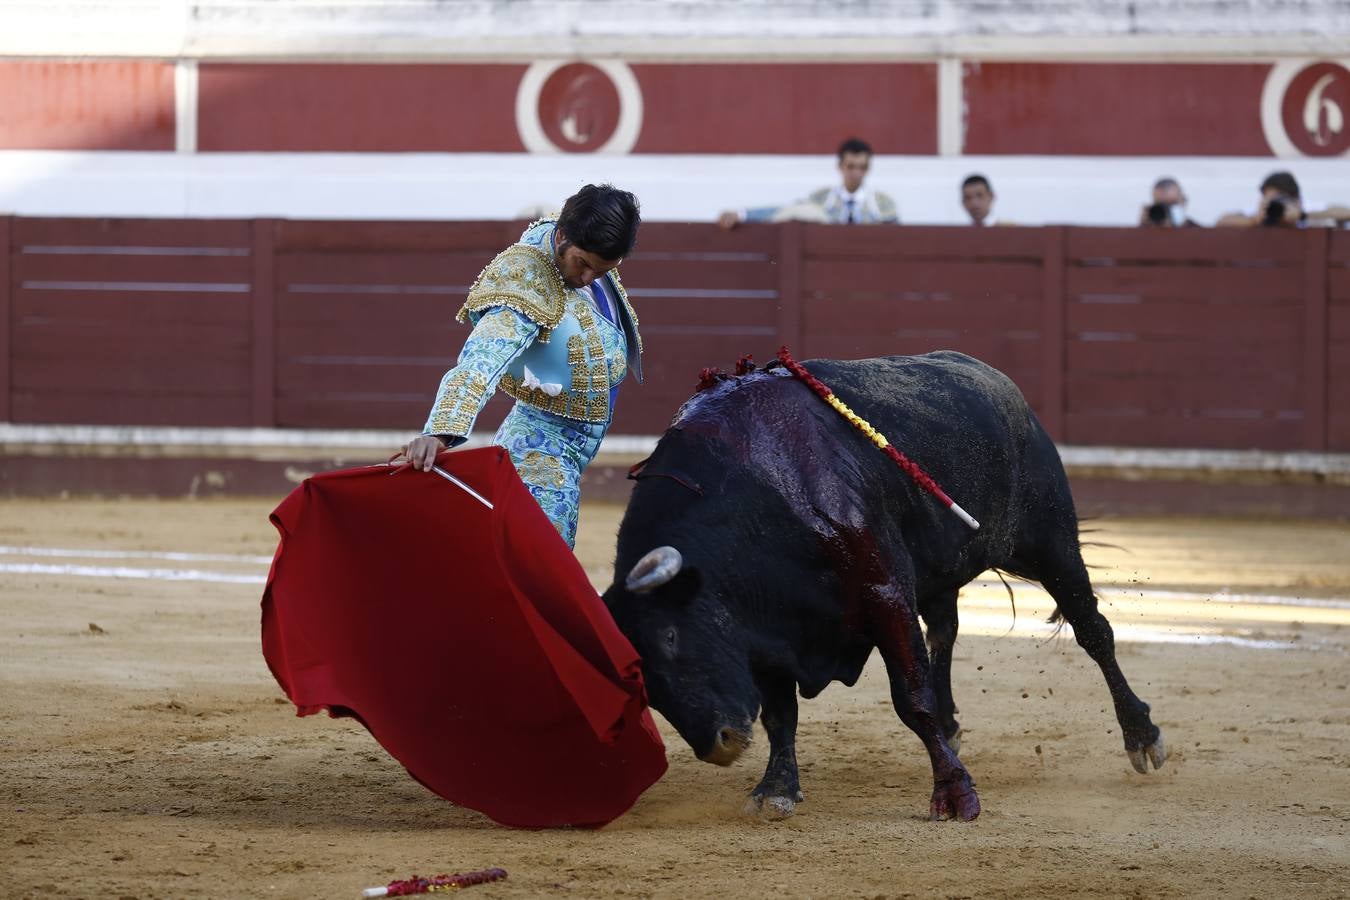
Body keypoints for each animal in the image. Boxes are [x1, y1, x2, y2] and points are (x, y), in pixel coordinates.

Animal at [607, 350, 1166, 825]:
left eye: (671, 636)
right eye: (641, 677)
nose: (718, 745)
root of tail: (1001, 384)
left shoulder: (884, 593)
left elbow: (911, 699)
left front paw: (955, 796)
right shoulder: (763, 632)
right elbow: (780, 714)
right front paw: (776, 790)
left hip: (1050, 540)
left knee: (1093, 630)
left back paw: (1142, 737)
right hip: (941, 570)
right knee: (945, 631)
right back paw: (952, 727)